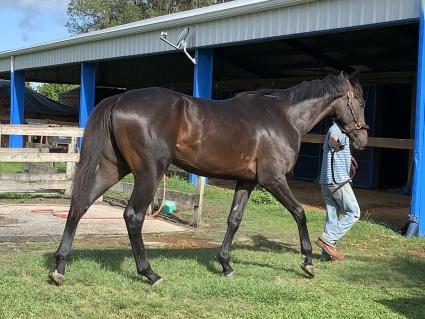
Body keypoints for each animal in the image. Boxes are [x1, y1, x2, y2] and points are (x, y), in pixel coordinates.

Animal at [48, 73, 366, 288]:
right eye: (362, 102)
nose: (362, 139)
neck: (283, 116)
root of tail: (119, 98)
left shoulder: (246, 182)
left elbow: (234, 221)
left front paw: (226, 265)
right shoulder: (272, 179)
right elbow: (300, 213)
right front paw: (308, 262)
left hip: (112, 168)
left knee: (79, 206)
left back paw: (59, 268)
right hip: (149, 173)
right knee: (133, 217)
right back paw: (150, 273)